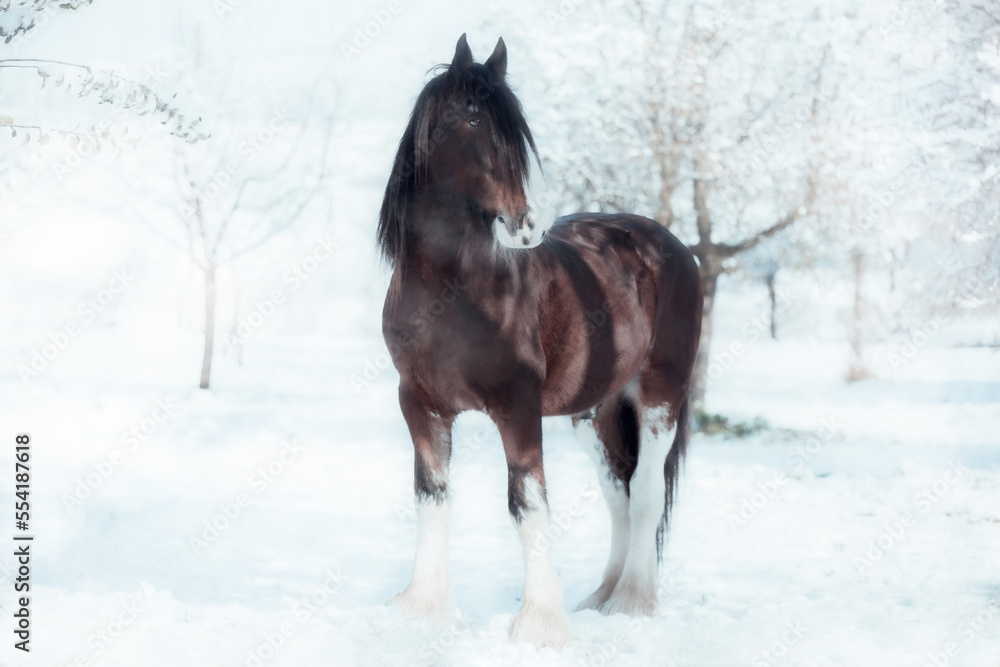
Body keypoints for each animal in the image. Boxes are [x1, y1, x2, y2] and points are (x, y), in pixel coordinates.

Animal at [376, 35, 704, 648]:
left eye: (516, 128)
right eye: (472, 117)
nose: (525, 227)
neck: (452, 294)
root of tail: (670, 245)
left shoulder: (518, 407)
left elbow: (527, 506)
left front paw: (540, 625)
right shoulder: (420, 404)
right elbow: (432, 497)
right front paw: (422, 608)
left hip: (660, 398)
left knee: (646, 494)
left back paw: (632, 603)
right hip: (594, 413)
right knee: (619, 496)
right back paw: (599, 599)